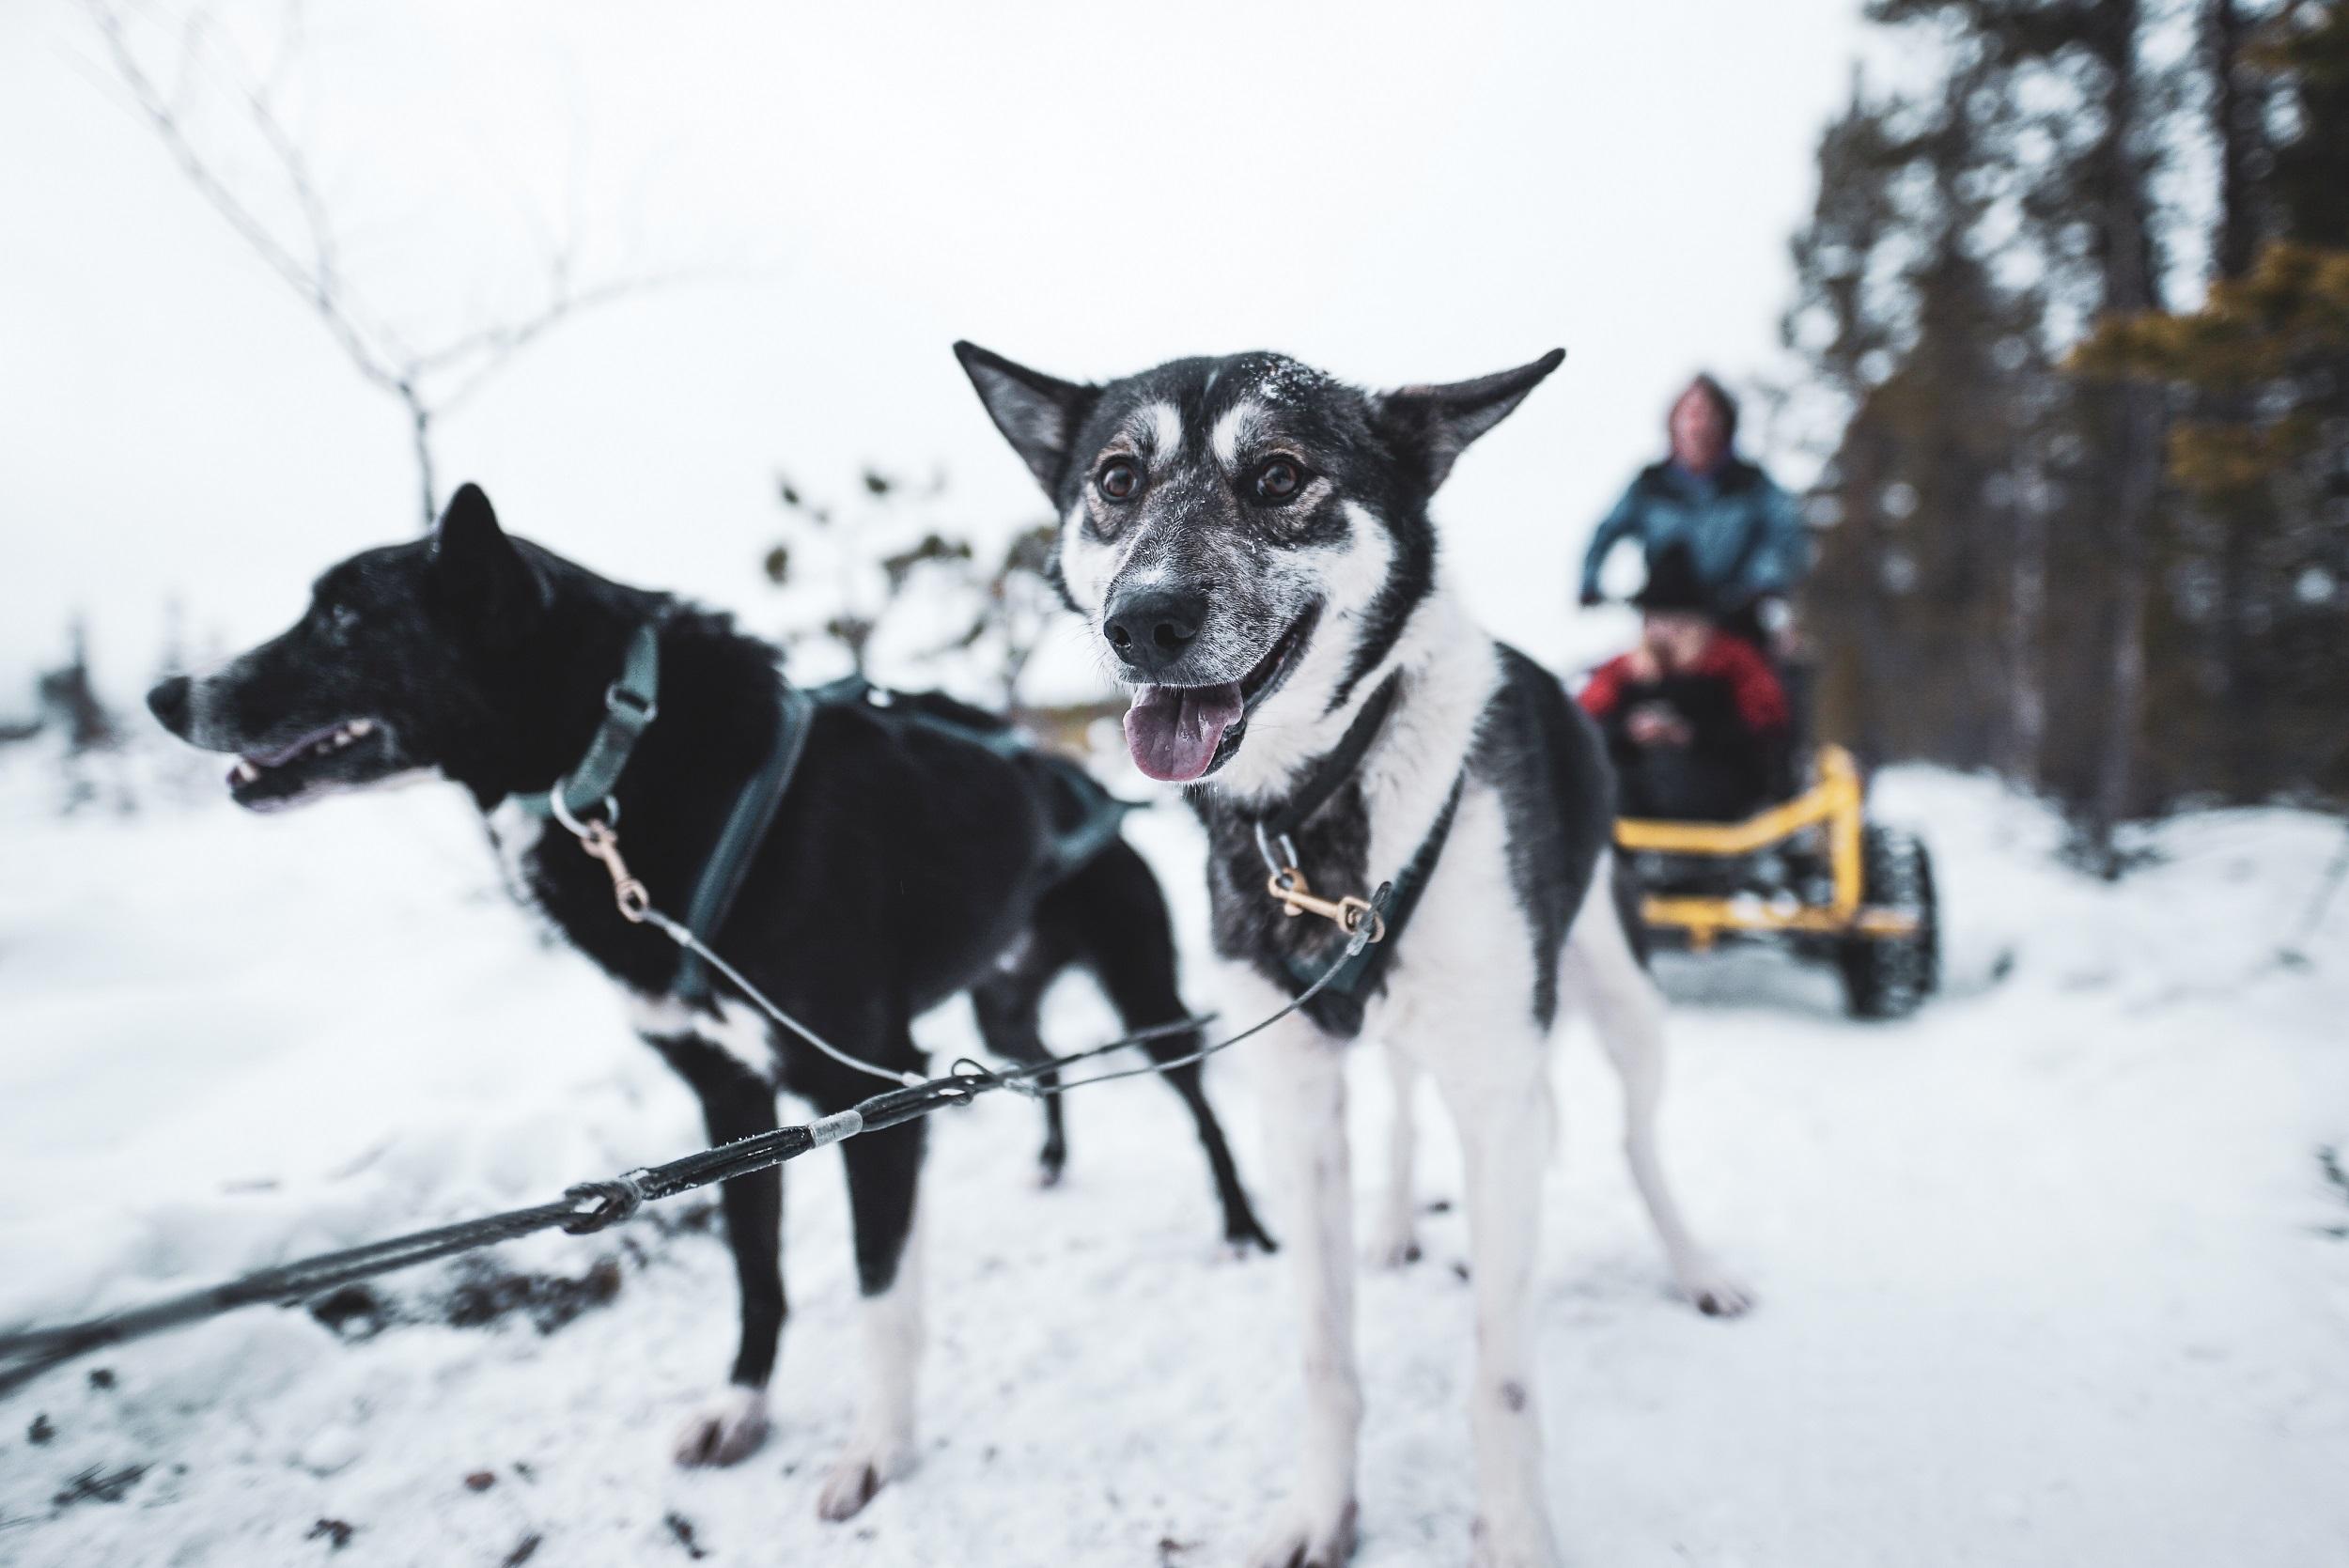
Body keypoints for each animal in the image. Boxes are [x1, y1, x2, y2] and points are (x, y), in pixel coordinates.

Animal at [144, 486, 1268, 1521]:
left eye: (341, 617)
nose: (163, 694)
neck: (620, 762)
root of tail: (1082, 784)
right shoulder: (731, 1105)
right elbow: (756, 1273)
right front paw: (742, 1406)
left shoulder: (868, 1091)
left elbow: (878, 1290)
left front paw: (877, 1450)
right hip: (997, 1006)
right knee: (1033, 1066)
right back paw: (1049, 1162)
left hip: (1144, 994)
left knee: (1203, 1106)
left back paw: (1245, 1226)